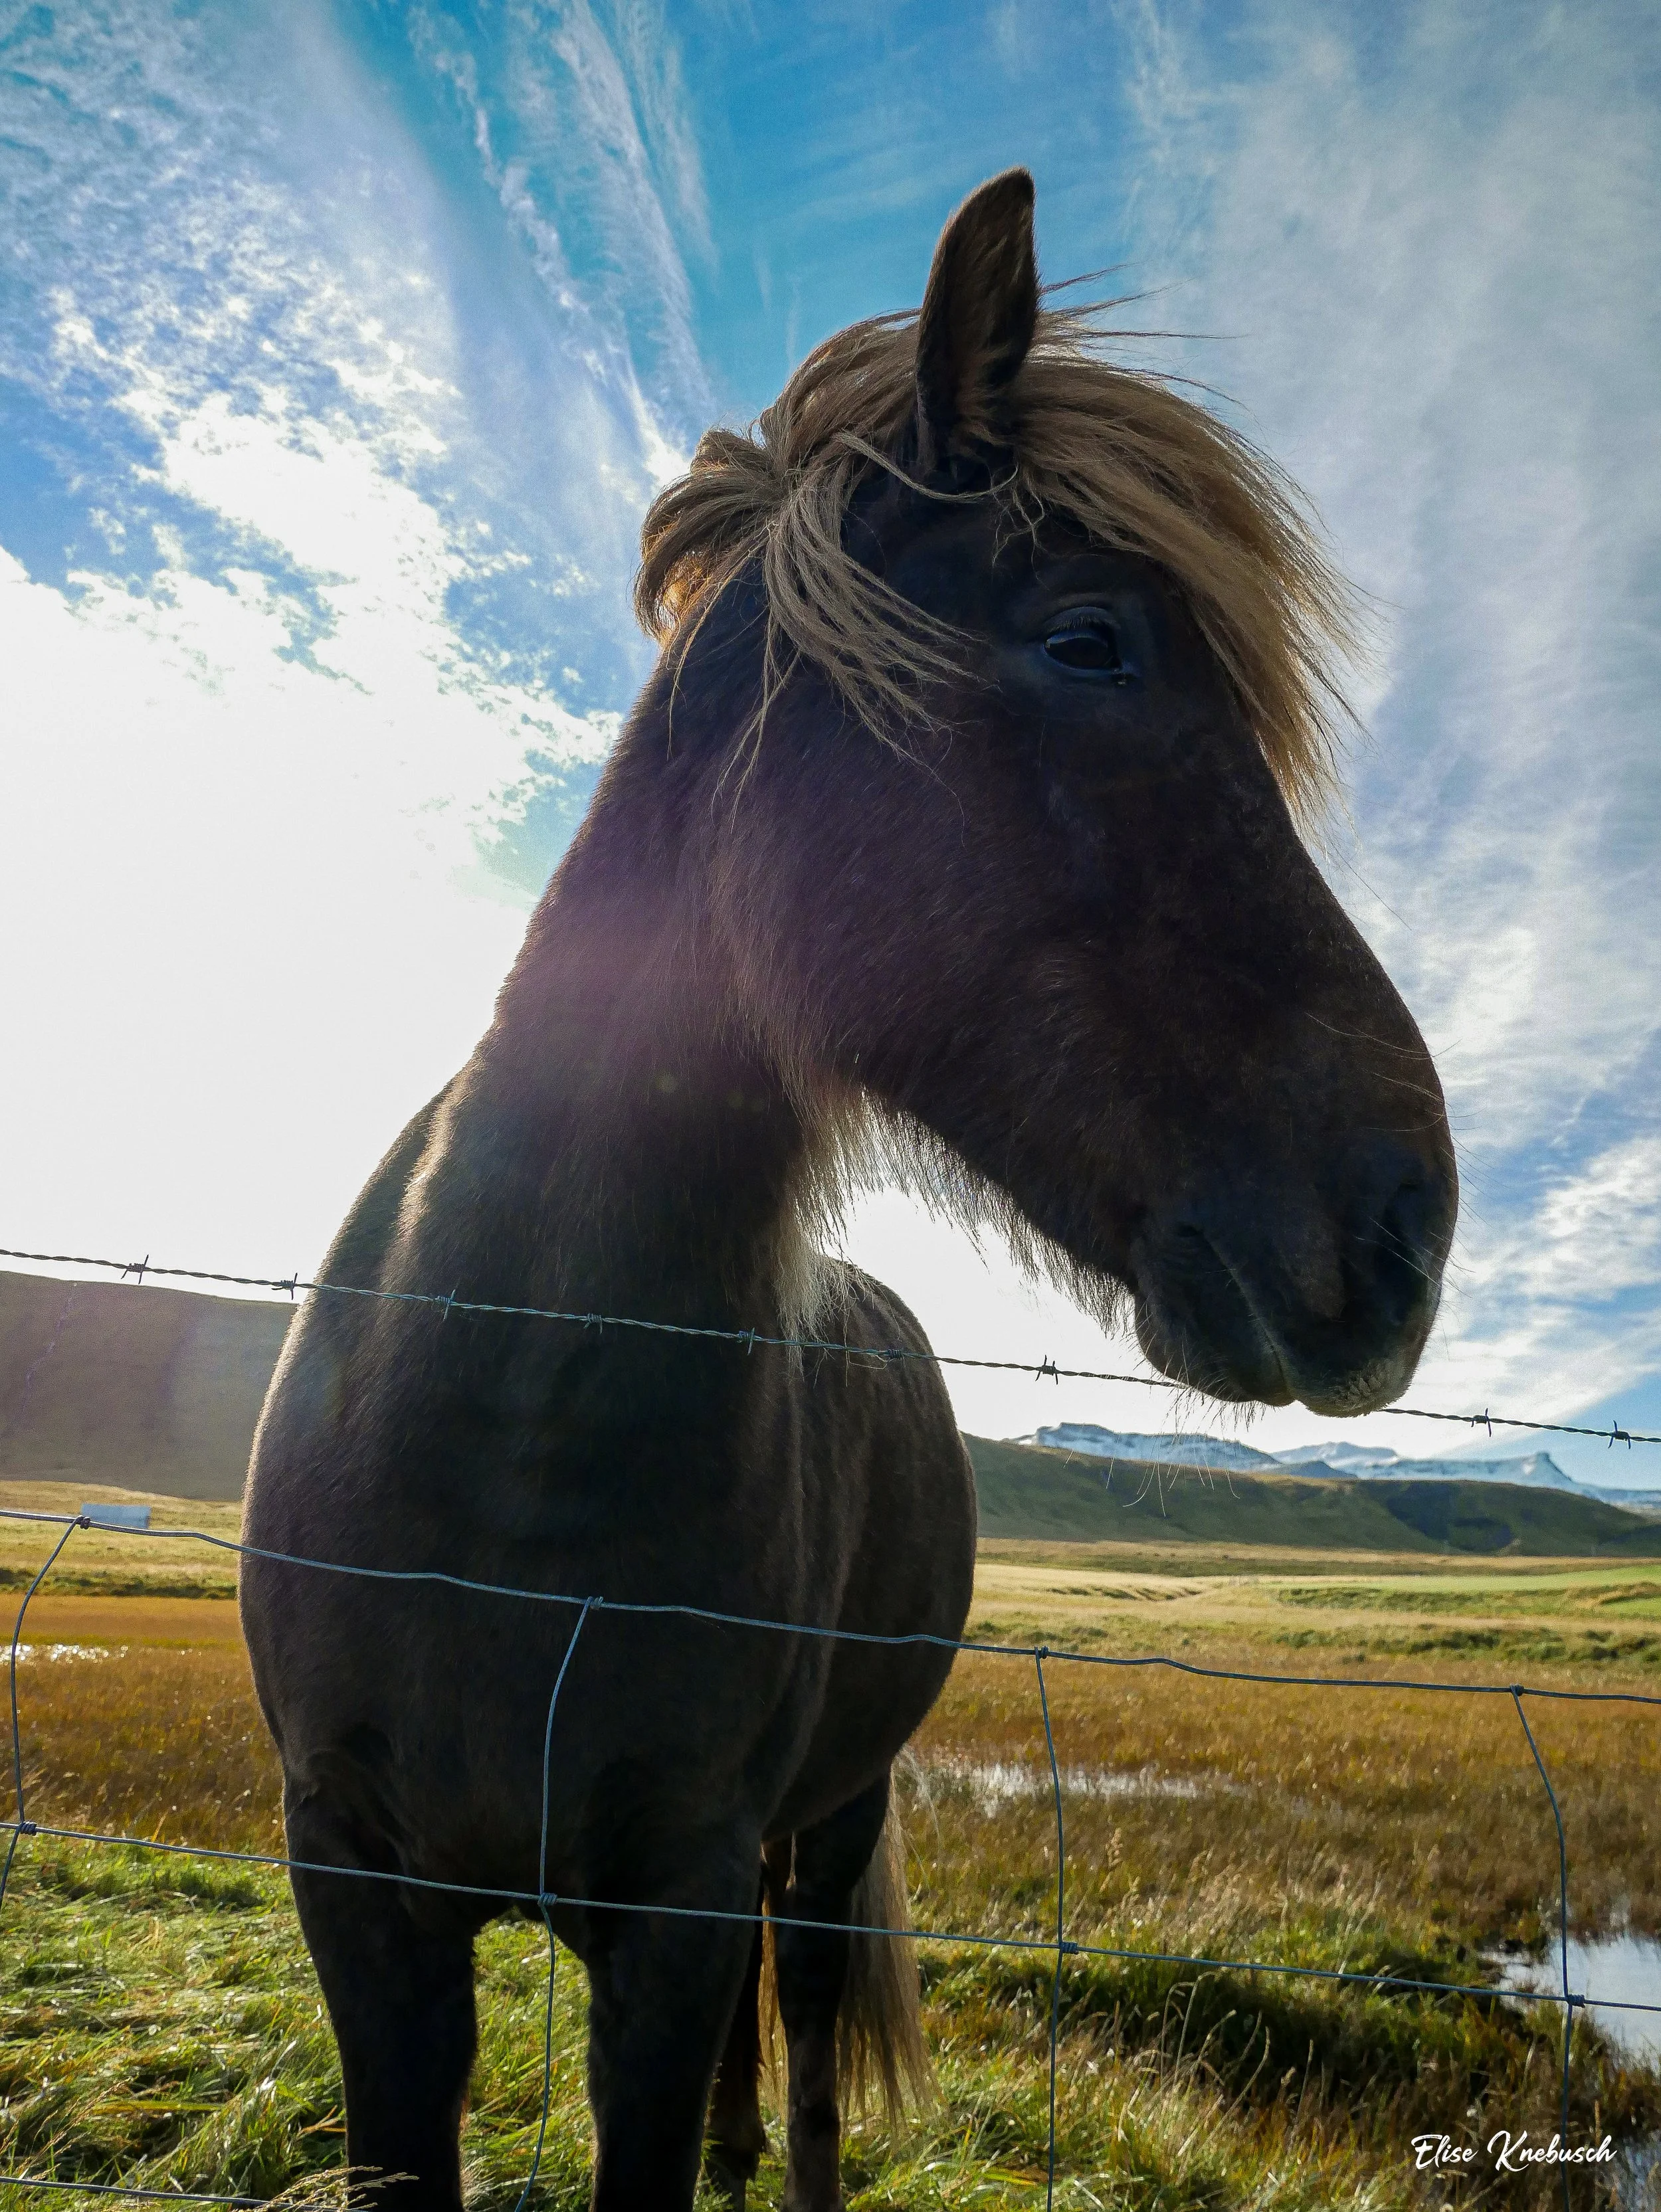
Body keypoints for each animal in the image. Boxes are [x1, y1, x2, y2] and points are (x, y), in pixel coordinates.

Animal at [240, 168, 1456, 2212]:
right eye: (1089, 642)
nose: (1408, 1227)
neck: (505, 1404)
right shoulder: (359, 1894)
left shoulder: (672, 1904)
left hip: (827, 1815)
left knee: (802, 2016)